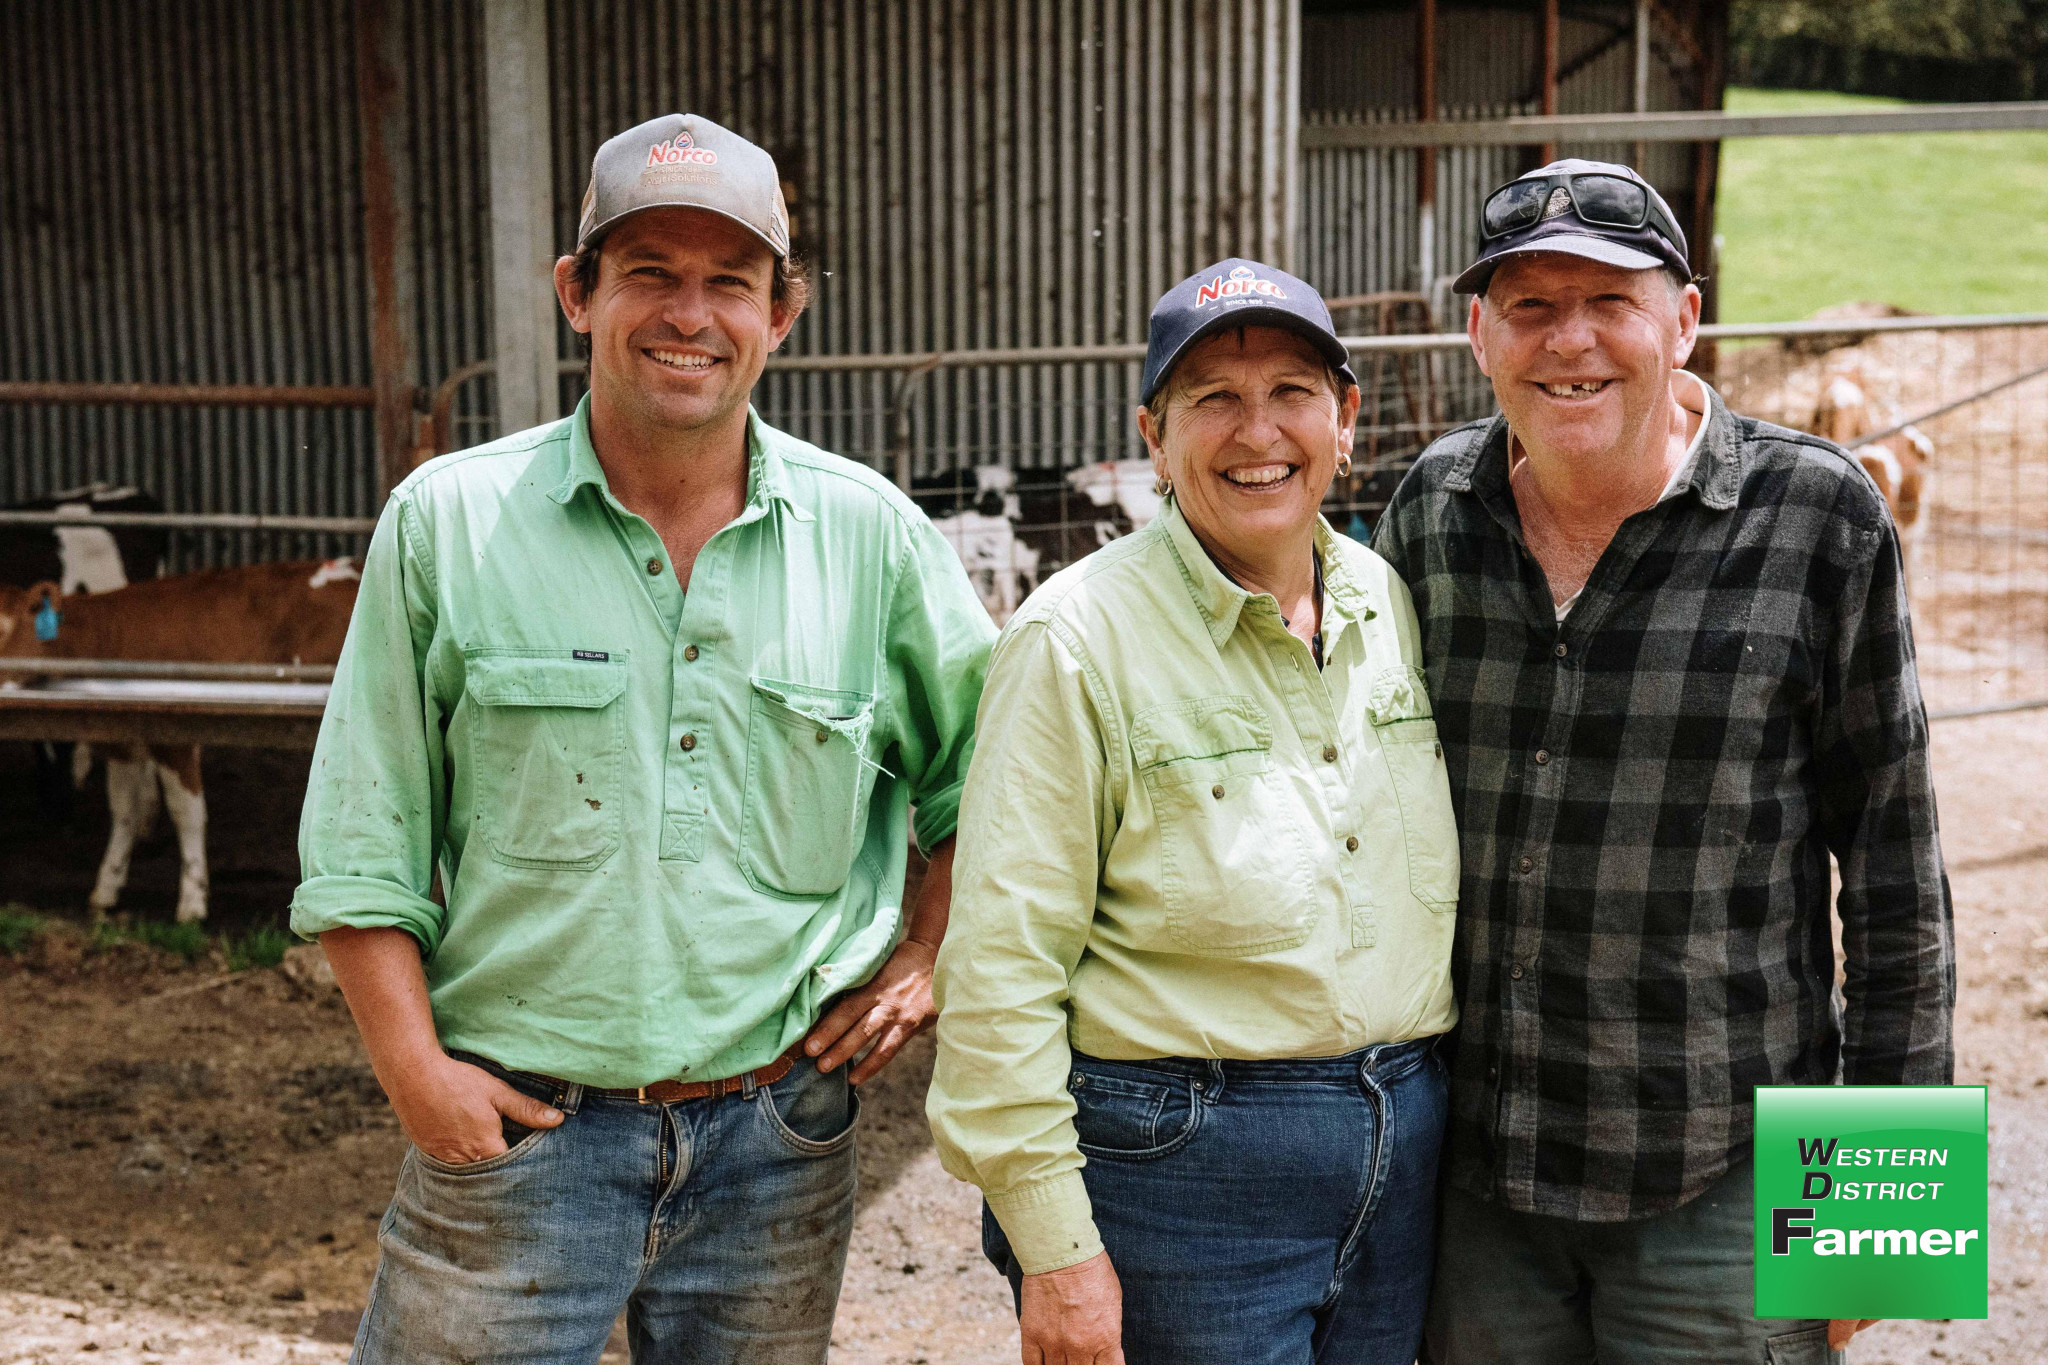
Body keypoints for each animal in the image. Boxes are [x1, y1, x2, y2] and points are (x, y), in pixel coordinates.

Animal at [0, 556, 360, 929]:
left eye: (3, 630)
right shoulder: (124, 740)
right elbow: (124, 811)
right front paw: (107, 887)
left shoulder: (175, 737)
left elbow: (185, 812)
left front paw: (192, 900)